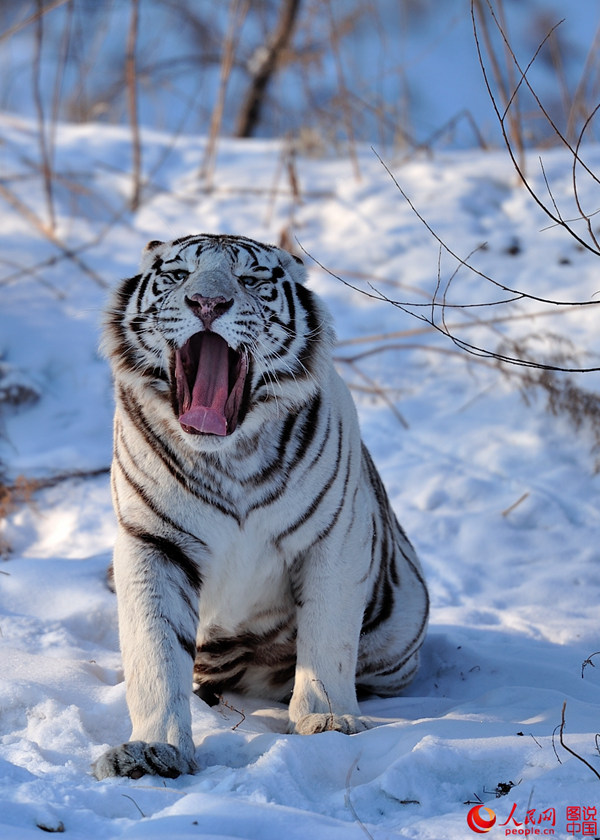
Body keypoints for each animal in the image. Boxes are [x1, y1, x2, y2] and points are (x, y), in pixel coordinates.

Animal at [92, 231, 426, 780]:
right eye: (179, 275)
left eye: (249, 280)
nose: (207, 303)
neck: (228, 457)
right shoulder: (154, 543)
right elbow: (155, 653)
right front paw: (152, 750)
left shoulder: (335, 538)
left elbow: (327, 639)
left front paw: (328, 721)